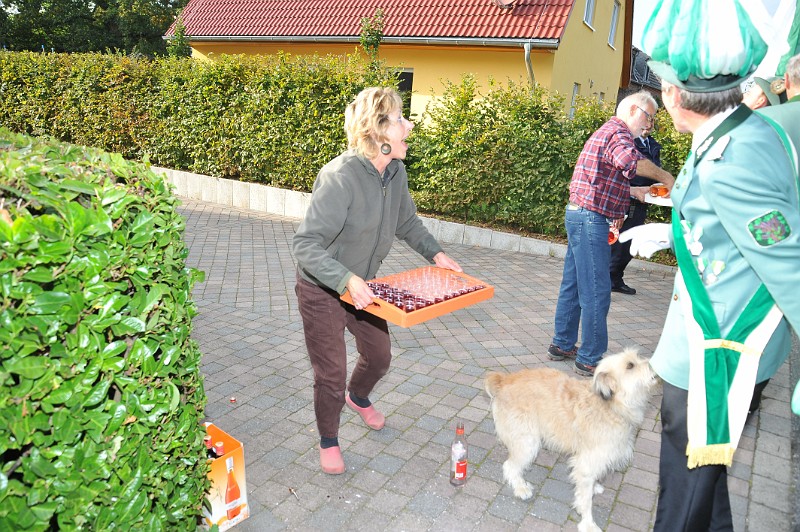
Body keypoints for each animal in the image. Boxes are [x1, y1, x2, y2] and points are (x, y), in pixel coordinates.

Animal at [484, 349, 657, 532]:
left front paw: (594, 487)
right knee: (509, 466)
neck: (611, 406)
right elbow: (585, 500)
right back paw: (520, 487)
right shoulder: (586, 463)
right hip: (527, 442)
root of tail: (505, 379)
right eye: (630, 365)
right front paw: (588, 523)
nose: (655, 365)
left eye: (637, 358)